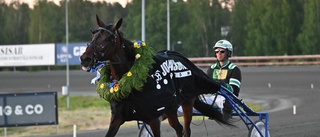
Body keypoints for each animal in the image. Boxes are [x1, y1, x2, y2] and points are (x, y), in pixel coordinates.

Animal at [80, 14, 232, 136]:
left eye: (108, 39)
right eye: (93, 36)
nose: (85, 58)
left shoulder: (153, 117)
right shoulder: (117, 117)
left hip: (187, 102)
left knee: (185, 130)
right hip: (171, 108)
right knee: (179, 128)